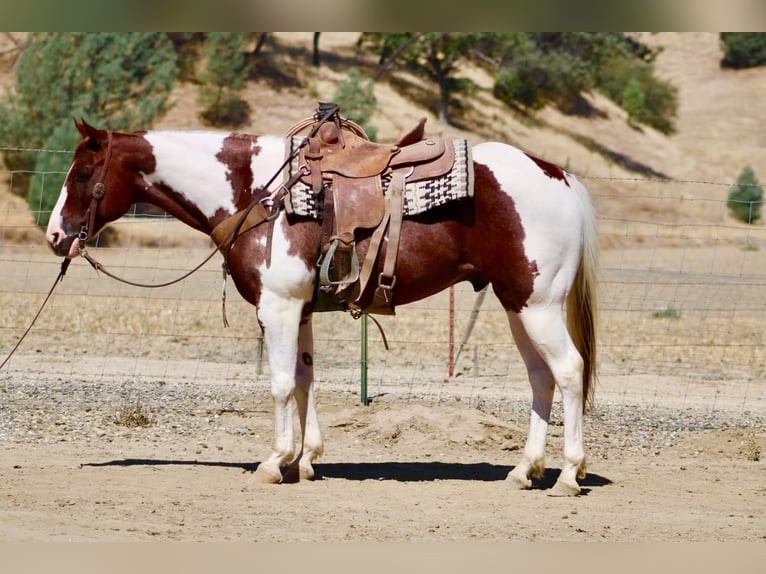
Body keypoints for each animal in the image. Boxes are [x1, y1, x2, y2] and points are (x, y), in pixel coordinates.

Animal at [46, 117, 598, 495]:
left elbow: (280, 383)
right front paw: (306, 460)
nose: (55, 236)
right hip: (516, 305)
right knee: (541, 377)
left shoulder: (278, 308)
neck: (258, 194)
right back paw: (524, 471)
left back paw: (569, 474)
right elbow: (305, 379)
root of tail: (560, 177)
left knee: (569, 370)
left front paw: (275, 461)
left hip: (538, 305)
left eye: (84, 172)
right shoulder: (302, 309)